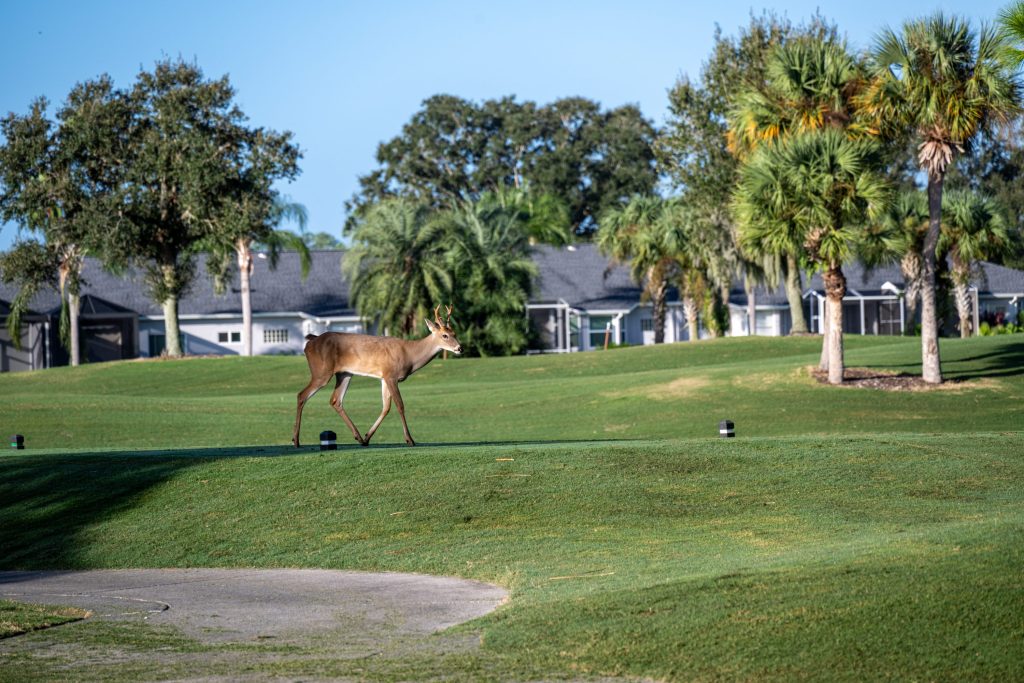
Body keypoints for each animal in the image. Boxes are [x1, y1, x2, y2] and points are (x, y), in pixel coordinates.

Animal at [292, 305, 463, 448]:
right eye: (445, 335)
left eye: (454, 333)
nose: (459, 348)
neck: (410, 355)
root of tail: (310, 342)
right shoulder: (391, 375)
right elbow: (400, 405)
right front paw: (410, 440)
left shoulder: (384, 377)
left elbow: (386, 407)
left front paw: (368, 437)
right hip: (321, 371)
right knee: (302, 395)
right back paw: (296, 440)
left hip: (345, 373)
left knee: (335, 400)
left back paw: (359, 438)